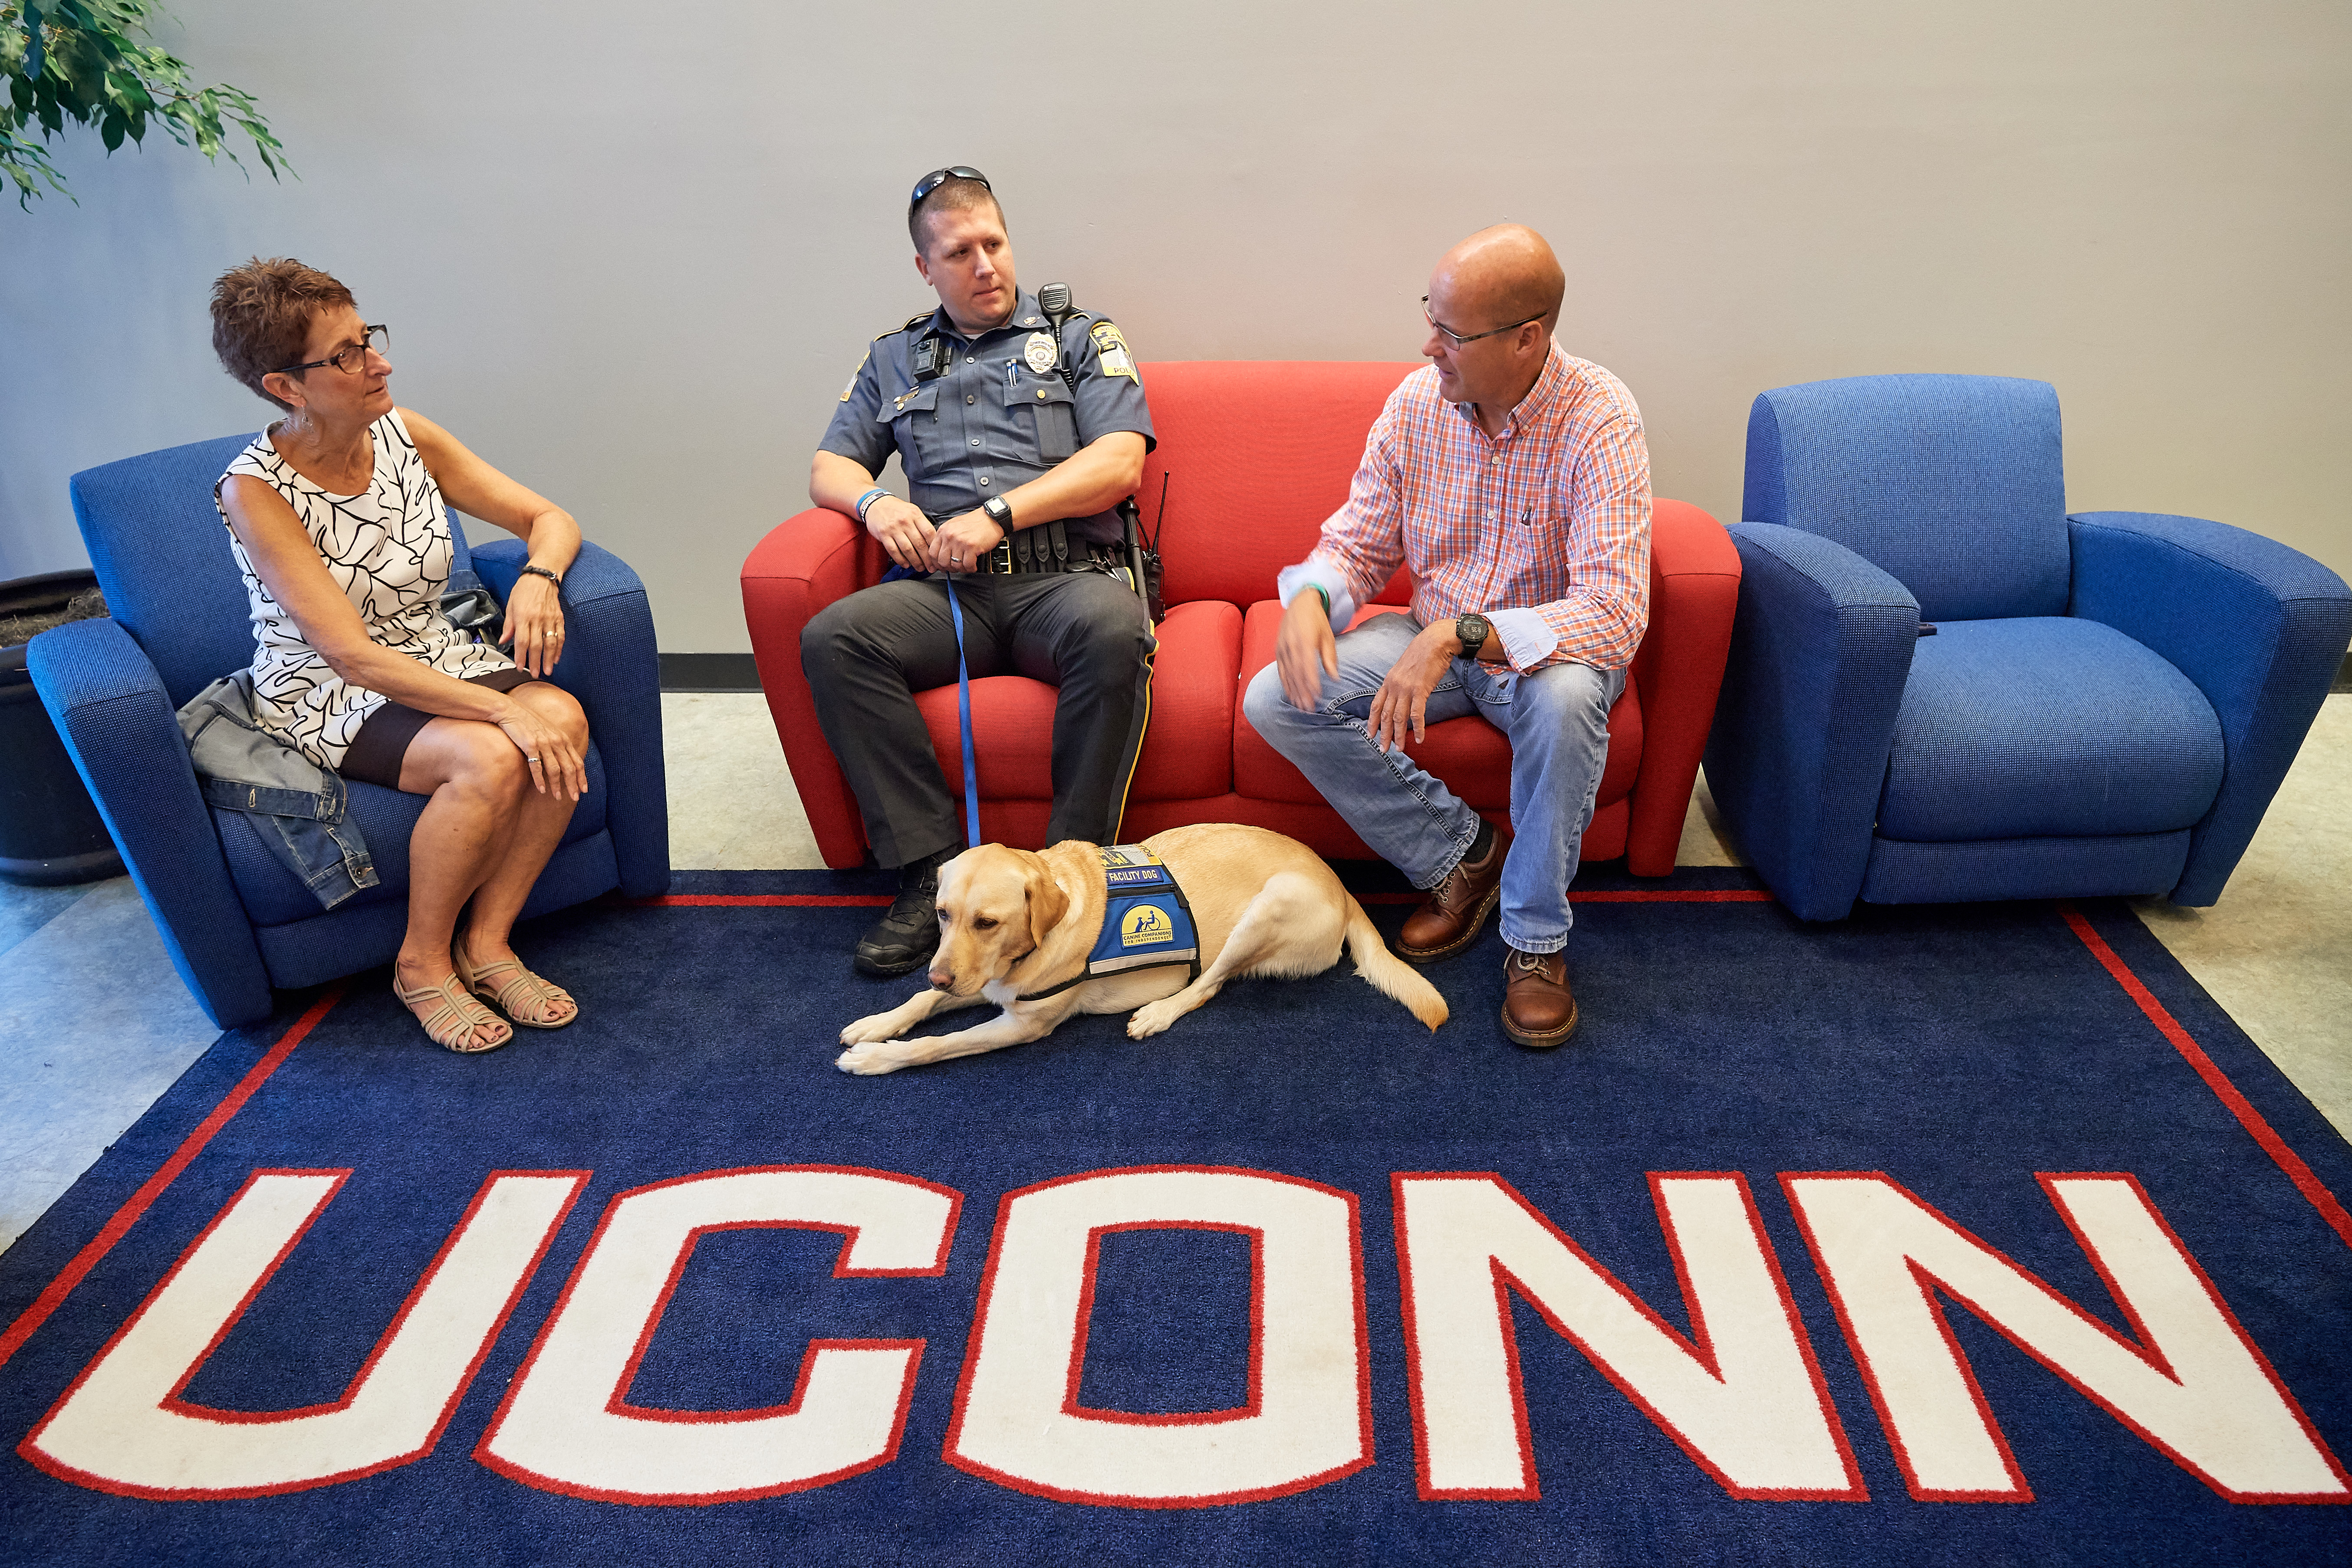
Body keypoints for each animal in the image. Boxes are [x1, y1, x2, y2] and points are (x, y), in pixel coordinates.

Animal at [837, 822, 1439, 1081]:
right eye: (941, 913)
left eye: (988, 922)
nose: (939, 975)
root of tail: (1342, 885)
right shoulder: (985, 984)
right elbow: (920, 1005)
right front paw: (875, 1024)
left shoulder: (1022, 1023)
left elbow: (938, 1044)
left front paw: (876, 1057)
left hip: (1268, 909)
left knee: (1205, 986)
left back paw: (1156, 1013)